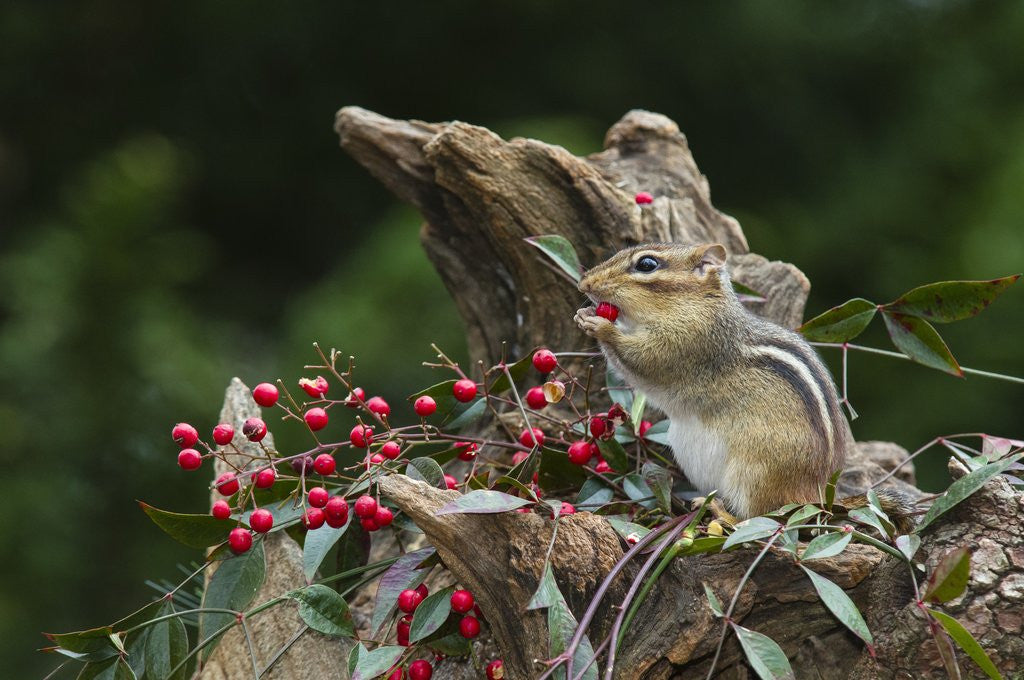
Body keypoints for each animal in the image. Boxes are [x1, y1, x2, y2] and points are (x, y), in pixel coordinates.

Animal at [575, 242, 914, 533]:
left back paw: (721, 513)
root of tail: (817, 497)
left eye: (646, 264)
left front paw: (602, 327)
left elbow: (643, 360)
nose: (584, 283)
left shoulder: (687, 342)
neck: (695, 305)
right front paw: (584, 314)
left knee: (761, 517)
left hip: (756, 472)